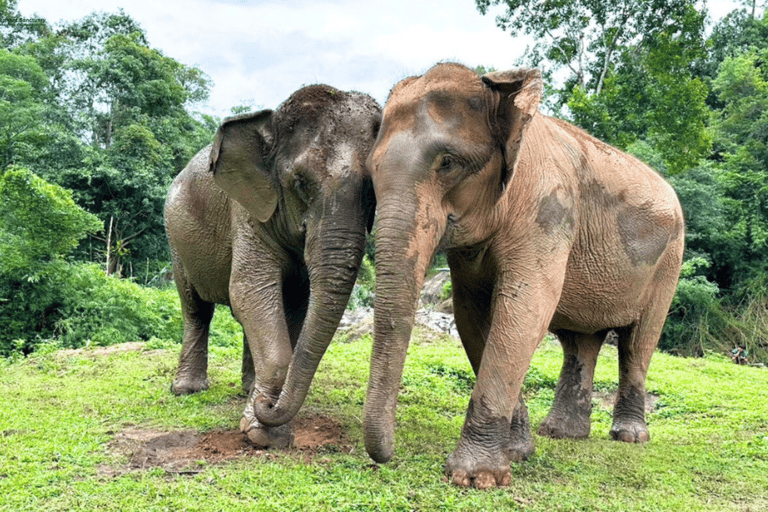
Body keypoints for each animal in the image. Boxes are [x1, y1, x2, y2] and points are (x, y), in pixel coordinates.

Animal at [164, 85, 380, 448]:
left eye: (374, 192)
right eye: (301, 182)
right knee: (196, 308)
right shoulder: (247, 213)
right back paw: (187, 391)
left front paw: (263, 415)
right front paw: (263, 433)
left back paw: (247, 389)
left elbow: (294, 304)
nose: (268, 406)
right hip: (175, 238)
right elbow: (249, 291)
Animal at [362, 63, 684, 488]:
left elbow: (525, 308)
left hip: (669, 262)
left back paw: (629, 436)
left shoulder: (548, 211)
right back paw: (562, 434)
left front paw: (474, 479)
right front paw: (517, 454)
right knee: (580, 343)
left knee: (638, 341)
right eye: (370, 170)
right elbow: (473, 316)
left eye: (448, 163)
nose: (388, 457)